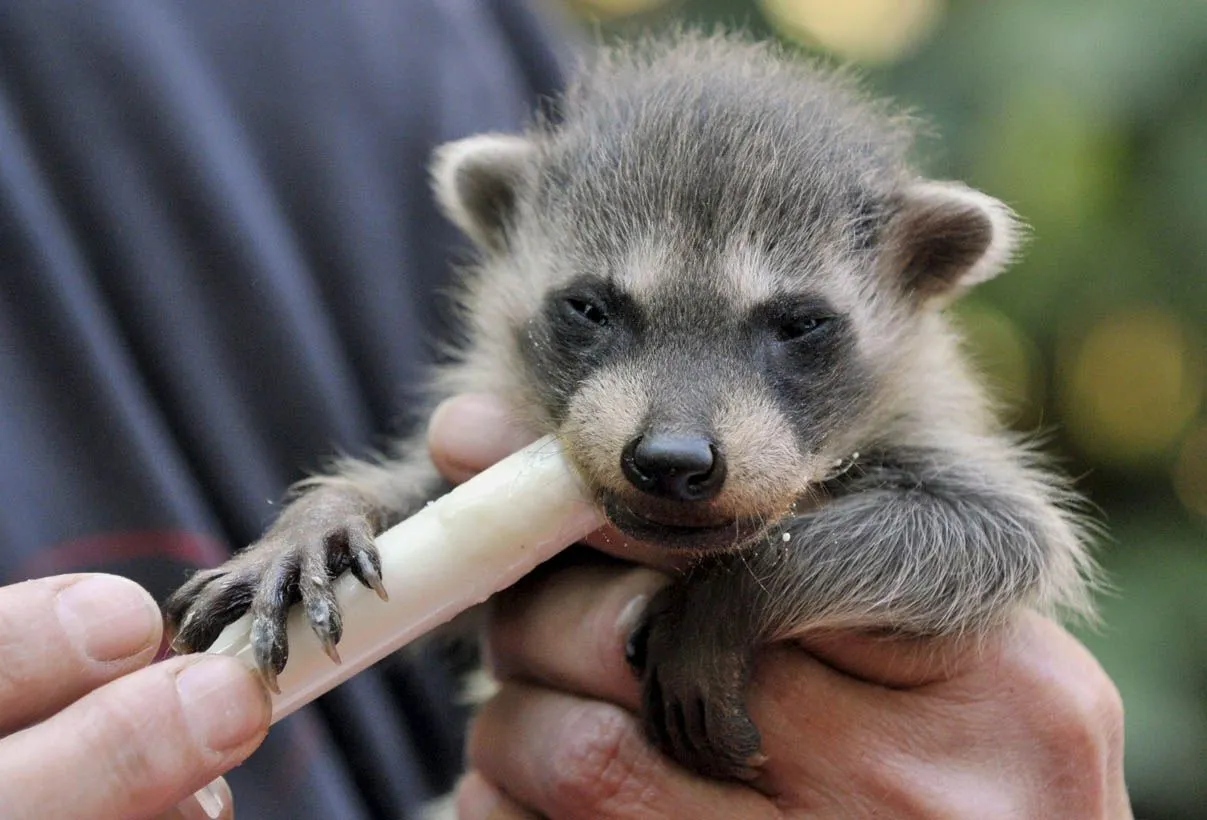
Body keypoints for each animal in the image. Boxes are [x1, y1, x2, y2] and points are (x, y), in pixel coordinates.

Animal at [165, 33, 1100, 782]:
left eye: (799, 324)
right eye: (589, 308)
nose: (673, 461)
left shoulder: (936, 437)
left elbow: (993, 539)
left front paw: (736, 592)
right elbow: (449, 593)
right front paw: (330, 513)